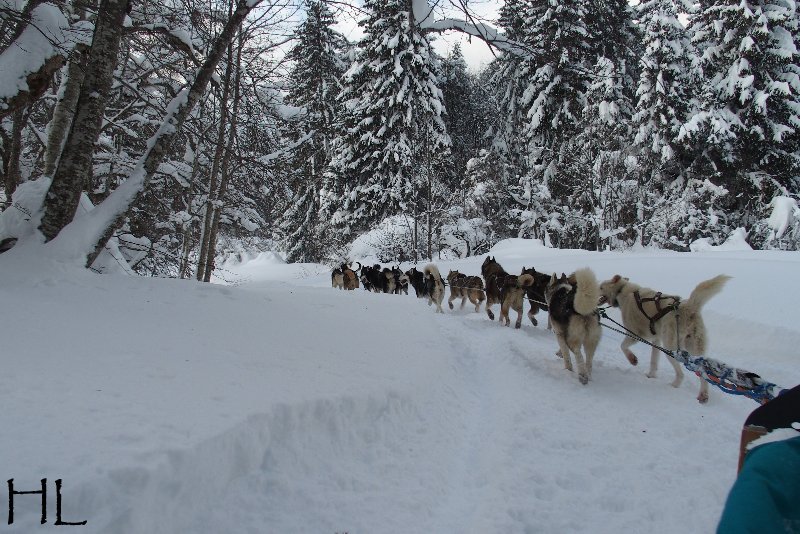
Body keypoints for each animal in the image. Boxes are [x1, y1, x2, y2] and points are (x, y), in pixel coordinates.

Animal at [600, 274, 732, 404]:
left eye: (601, 287)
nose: (595, 289)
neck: (622, 289)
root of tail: (690, 306)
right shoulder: (656, 340)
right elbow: (653, 361)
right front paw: (651, 375)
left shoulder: (635, 334)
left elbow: (623, 346)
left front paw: (632, 359)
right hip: (695, 348)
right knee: (703, 373)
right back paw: (703, 395)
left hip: (670, 348)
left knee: (681, 374)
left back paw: (674, 385)